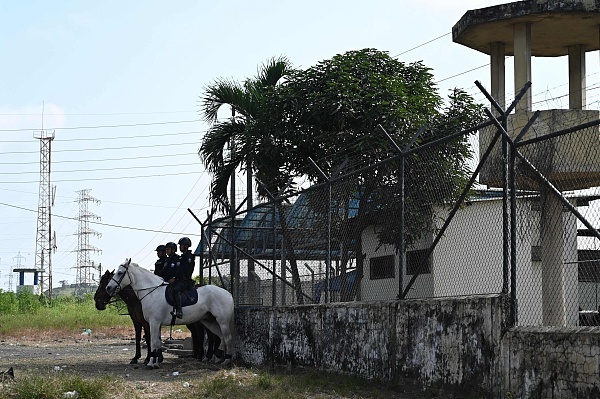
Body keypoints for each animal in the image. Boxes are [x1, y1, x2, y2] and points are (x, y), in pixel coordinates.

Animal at [104, 260, 233, 368]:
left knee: (227, 338)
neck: (151, 292)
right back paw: (218, 357)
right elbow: (157, 343)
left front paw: (150, 364)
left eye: (120, 273)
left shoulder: (154, 323)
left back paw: (227, 360)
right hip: (209, 321)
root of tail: (228, 293)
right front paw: (155, 362)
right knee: (221, 337)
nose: (108, 288)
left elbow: (153, 342)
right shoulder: (155, 324)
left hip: (223, 322)